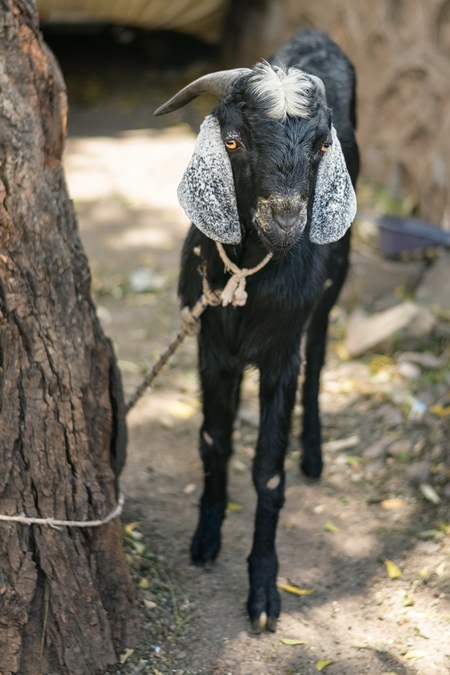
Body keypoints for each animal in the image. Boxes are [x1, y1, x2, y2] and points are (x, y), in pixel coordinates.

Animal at [156, 30, 360, 632]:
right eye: (233, 141)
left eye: (321, 147)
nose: (287, 221)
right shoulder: (209, 344)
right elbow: (213, 440)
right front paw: (205, 538)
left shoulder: (280, 355)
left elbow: (268, 472)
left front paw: (264, 590)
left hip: (336, 280)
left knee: (320, 355)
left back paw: (313, 453)